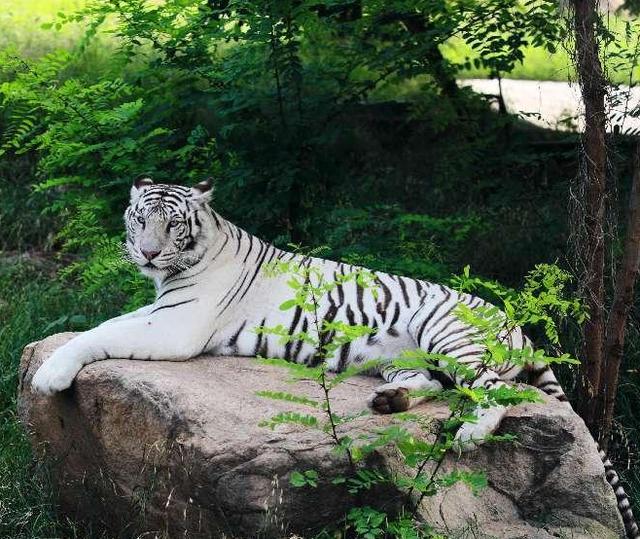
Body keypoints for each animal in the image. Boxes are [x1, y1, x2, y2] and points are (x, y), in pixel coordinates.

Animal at [31, 178, 640, 539]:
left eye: (172, 224)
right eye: (140, 219)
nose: (148, 252)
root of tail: (519, 326)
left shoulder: (179, 323)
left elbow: (101, 334)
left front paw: (49, 374)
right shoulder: (162, 308)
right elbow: (107, 323)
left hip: (448, 333)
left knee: (490, 388)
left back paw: (470, 433)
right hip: (405, 357)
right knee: (437, 385)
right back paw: (390, 401)